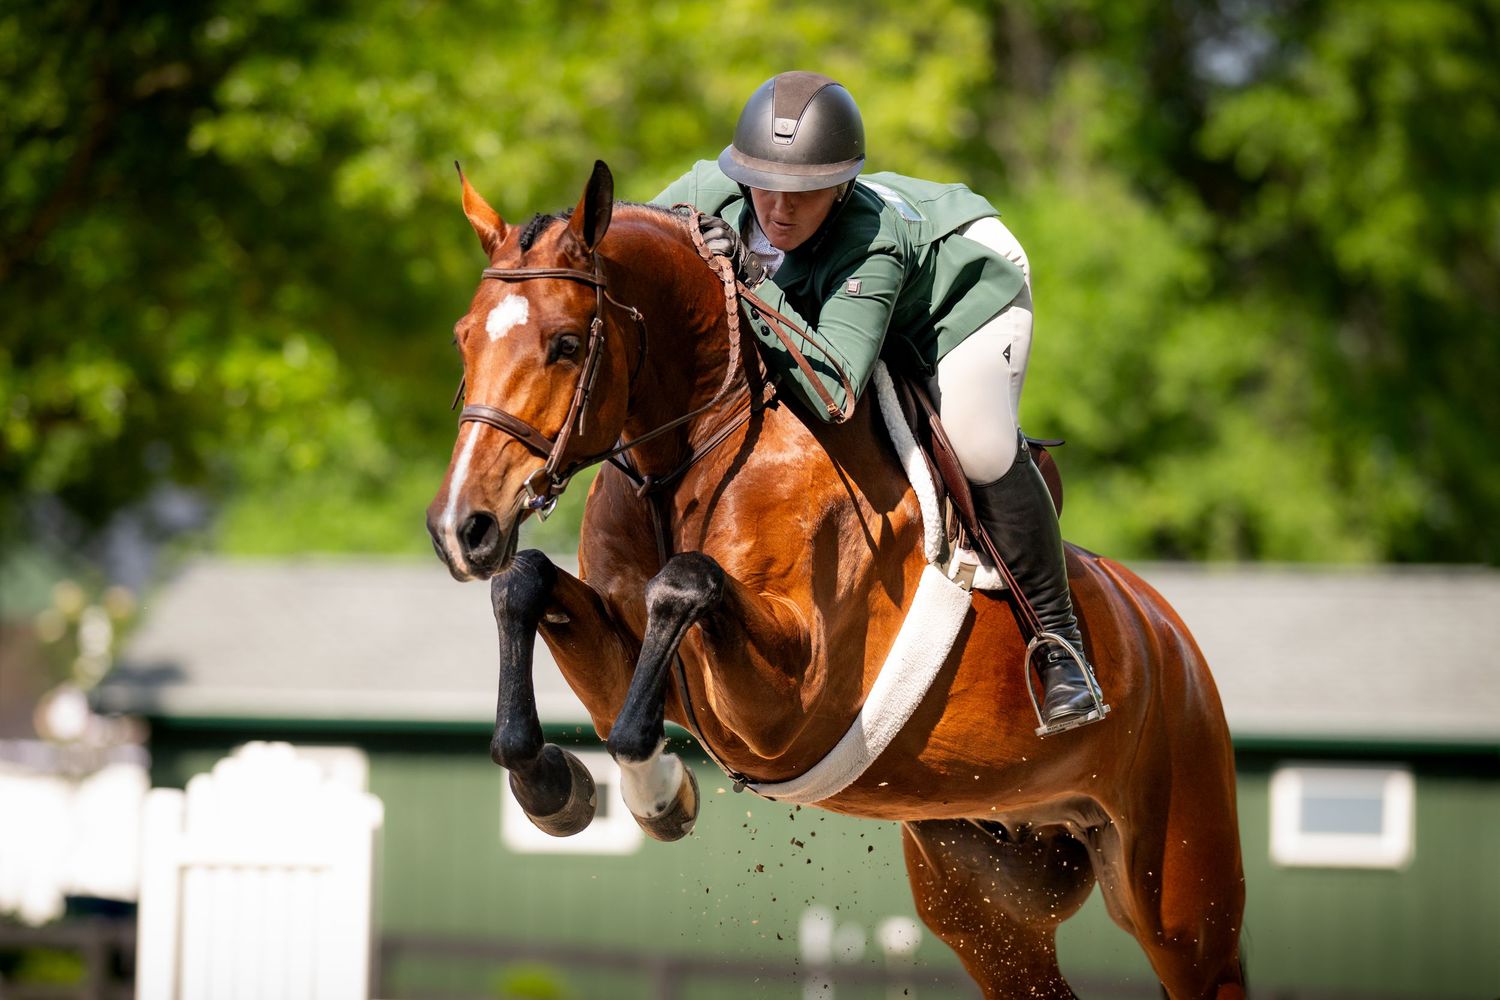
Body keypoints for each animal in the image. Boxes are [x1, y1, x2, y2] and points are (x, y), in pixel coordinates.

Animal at [425, 160, 1247, 999]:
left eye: (564, 344)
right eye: (463, 338)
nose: (463, 527)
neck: (689, 452)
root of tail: (1168, 634)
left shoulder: (790, 706)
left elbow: (683, 586)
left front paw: (658, 794)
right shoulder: (625, 659)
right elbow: (523, 583)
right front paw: (551, 786)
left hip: (1183, 900)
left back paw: (1070, 683)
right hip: (987, 887)